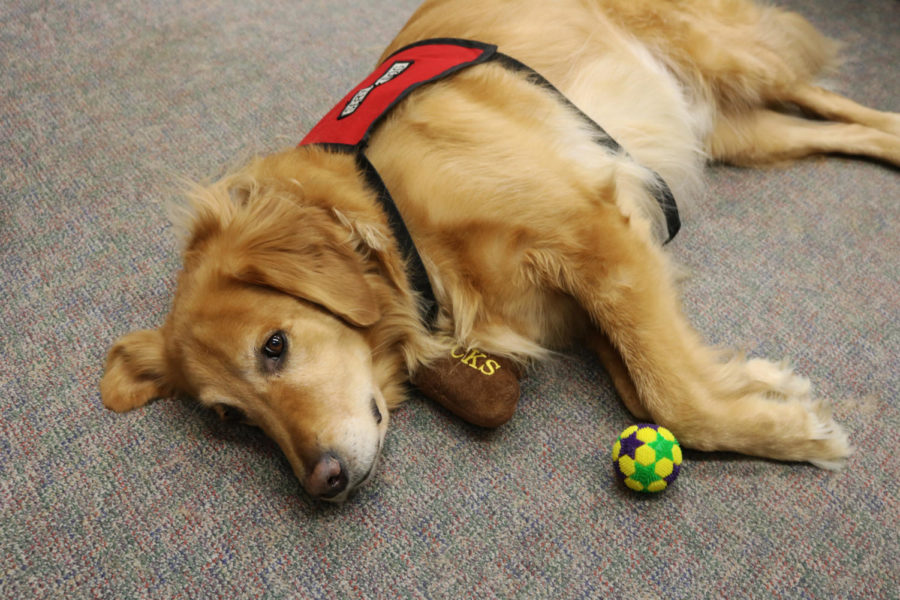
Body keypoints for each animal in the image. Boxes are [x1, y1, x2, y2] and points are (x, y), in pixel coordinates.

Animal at [100, 0, 900, 502]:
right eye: (229, 420)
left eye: (274, 346)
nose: (323, 483)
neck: (392, 217)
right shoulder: (586, 292)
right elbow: (645, 384)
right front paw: (763, 387)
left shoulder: (595, 233)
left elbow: (672, 393)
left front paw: (798, 434)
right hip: (737, 130)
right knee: (835, 126)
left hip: (729, 57)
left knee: (833, 98)